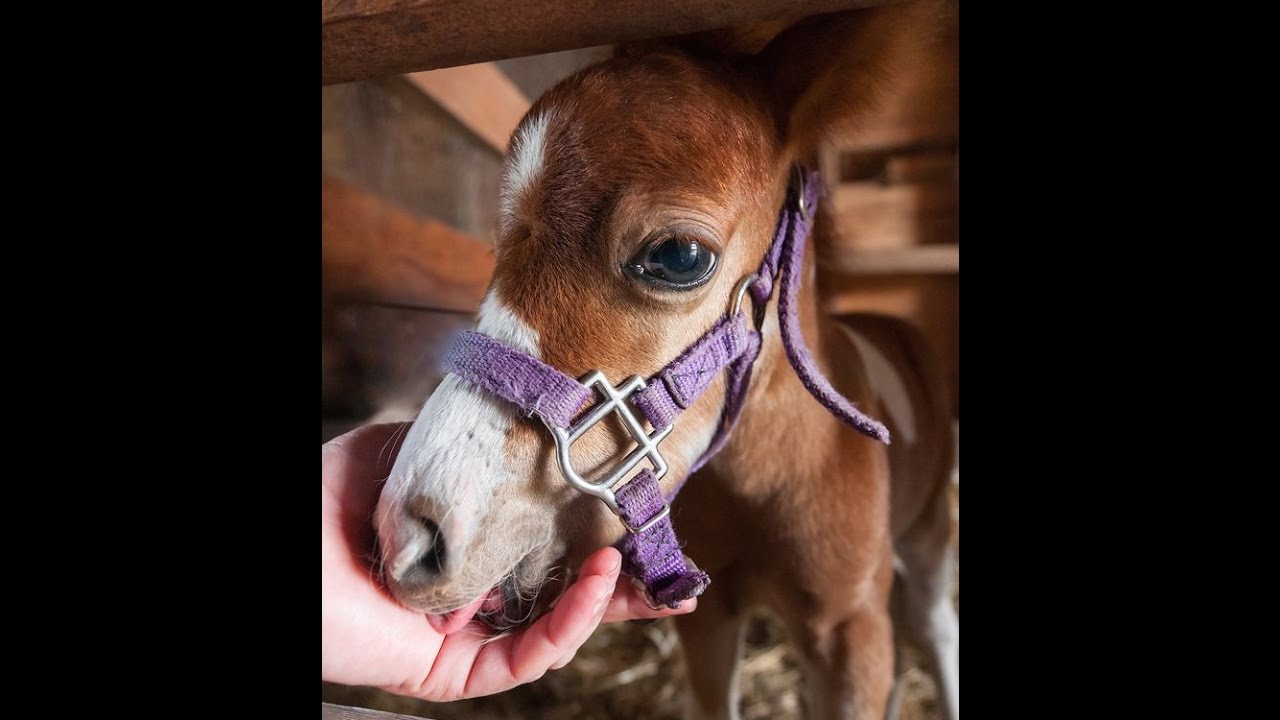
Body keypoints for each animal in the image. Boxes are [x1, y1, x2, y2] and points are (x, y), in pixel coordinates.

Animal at [374, 3, 957, 718]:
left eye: (680, 256)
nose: (409, 530)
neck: (768, 476)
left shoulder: (851, 637)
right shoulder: (706, 626)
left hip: (928, 544)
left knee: (934, 626)